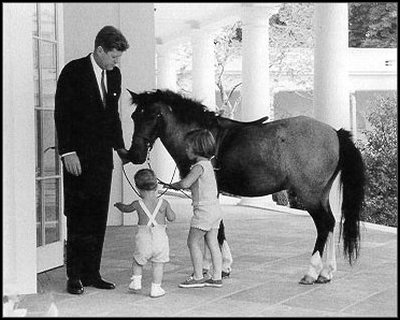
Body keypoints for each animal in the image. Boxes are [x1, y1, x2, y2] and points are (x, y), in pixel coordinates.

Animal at [125, 88, 366, 284]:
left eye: (152, 115)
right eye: (135, 116)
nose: (135, 154)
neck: (203, 136)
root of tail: (334, 133)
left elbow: (215, 228)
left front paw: (219, 267)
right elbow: (213, 227)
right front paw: (214, 266)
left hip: (310, 195)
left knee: (323, 225)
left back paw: (312, 272)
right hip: (321, 194)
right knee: (332, 223)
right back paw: (327, 272)